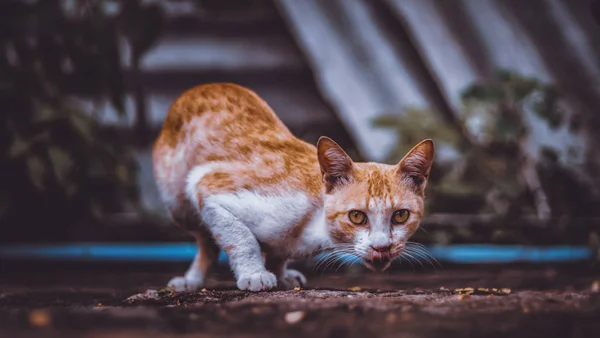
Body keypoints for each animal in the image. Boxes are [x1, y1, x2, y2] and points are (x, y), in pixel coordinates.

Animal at [151, 83, 432, 292]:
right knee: (204, 239)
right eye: (356, 216)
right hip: (178, 203)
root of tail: (201, 86)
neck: (313, 226)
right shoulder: (206, 184)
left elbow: (278, 253)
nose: (382, 247)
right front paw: (255, 274)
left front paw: (280, 274)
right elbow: (242, 238)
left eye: (401, 215)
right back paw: (192, 280)